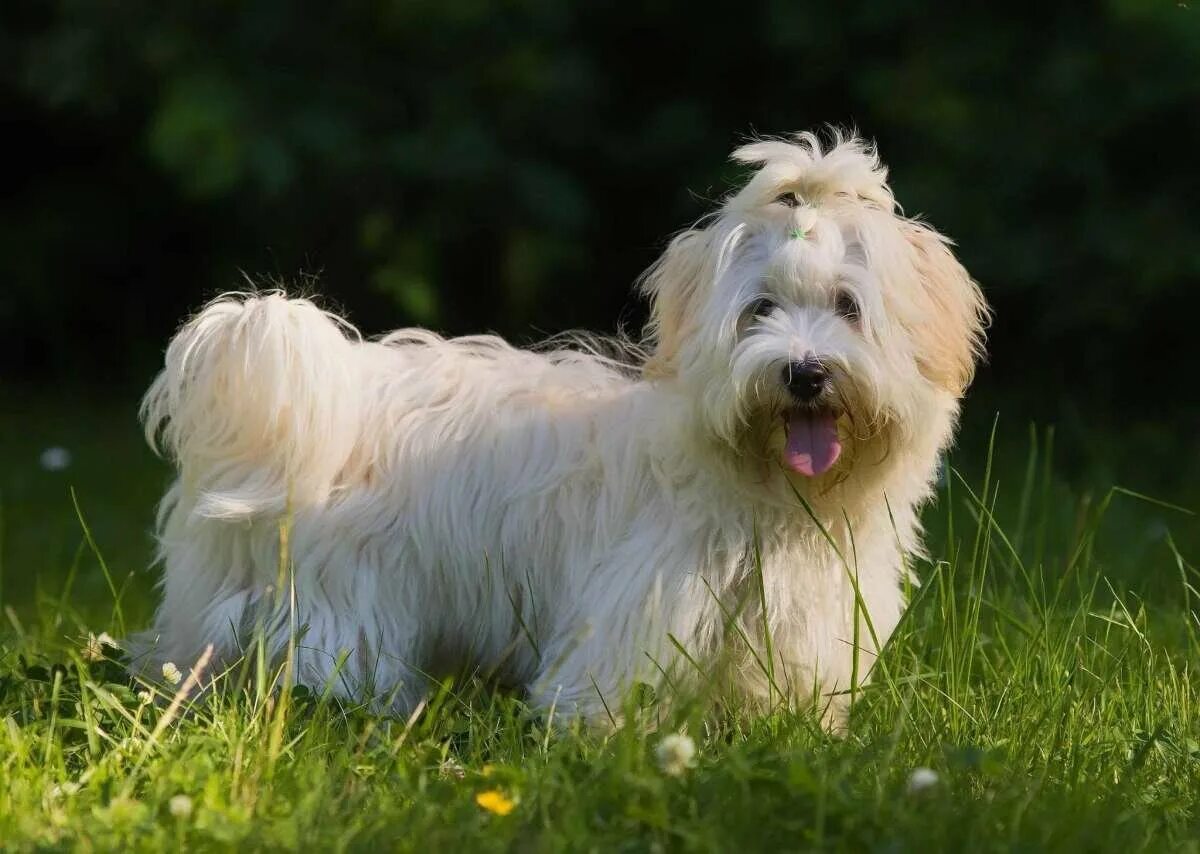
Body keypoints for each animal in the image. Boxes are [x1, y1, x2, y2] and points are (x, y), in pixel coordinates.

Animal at [136, 131, 988, 729]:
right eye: (760, 310)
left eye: (848, 306)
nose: (803, 372)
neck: (763, 487)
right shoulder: (643, 601)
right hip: (339, 596)